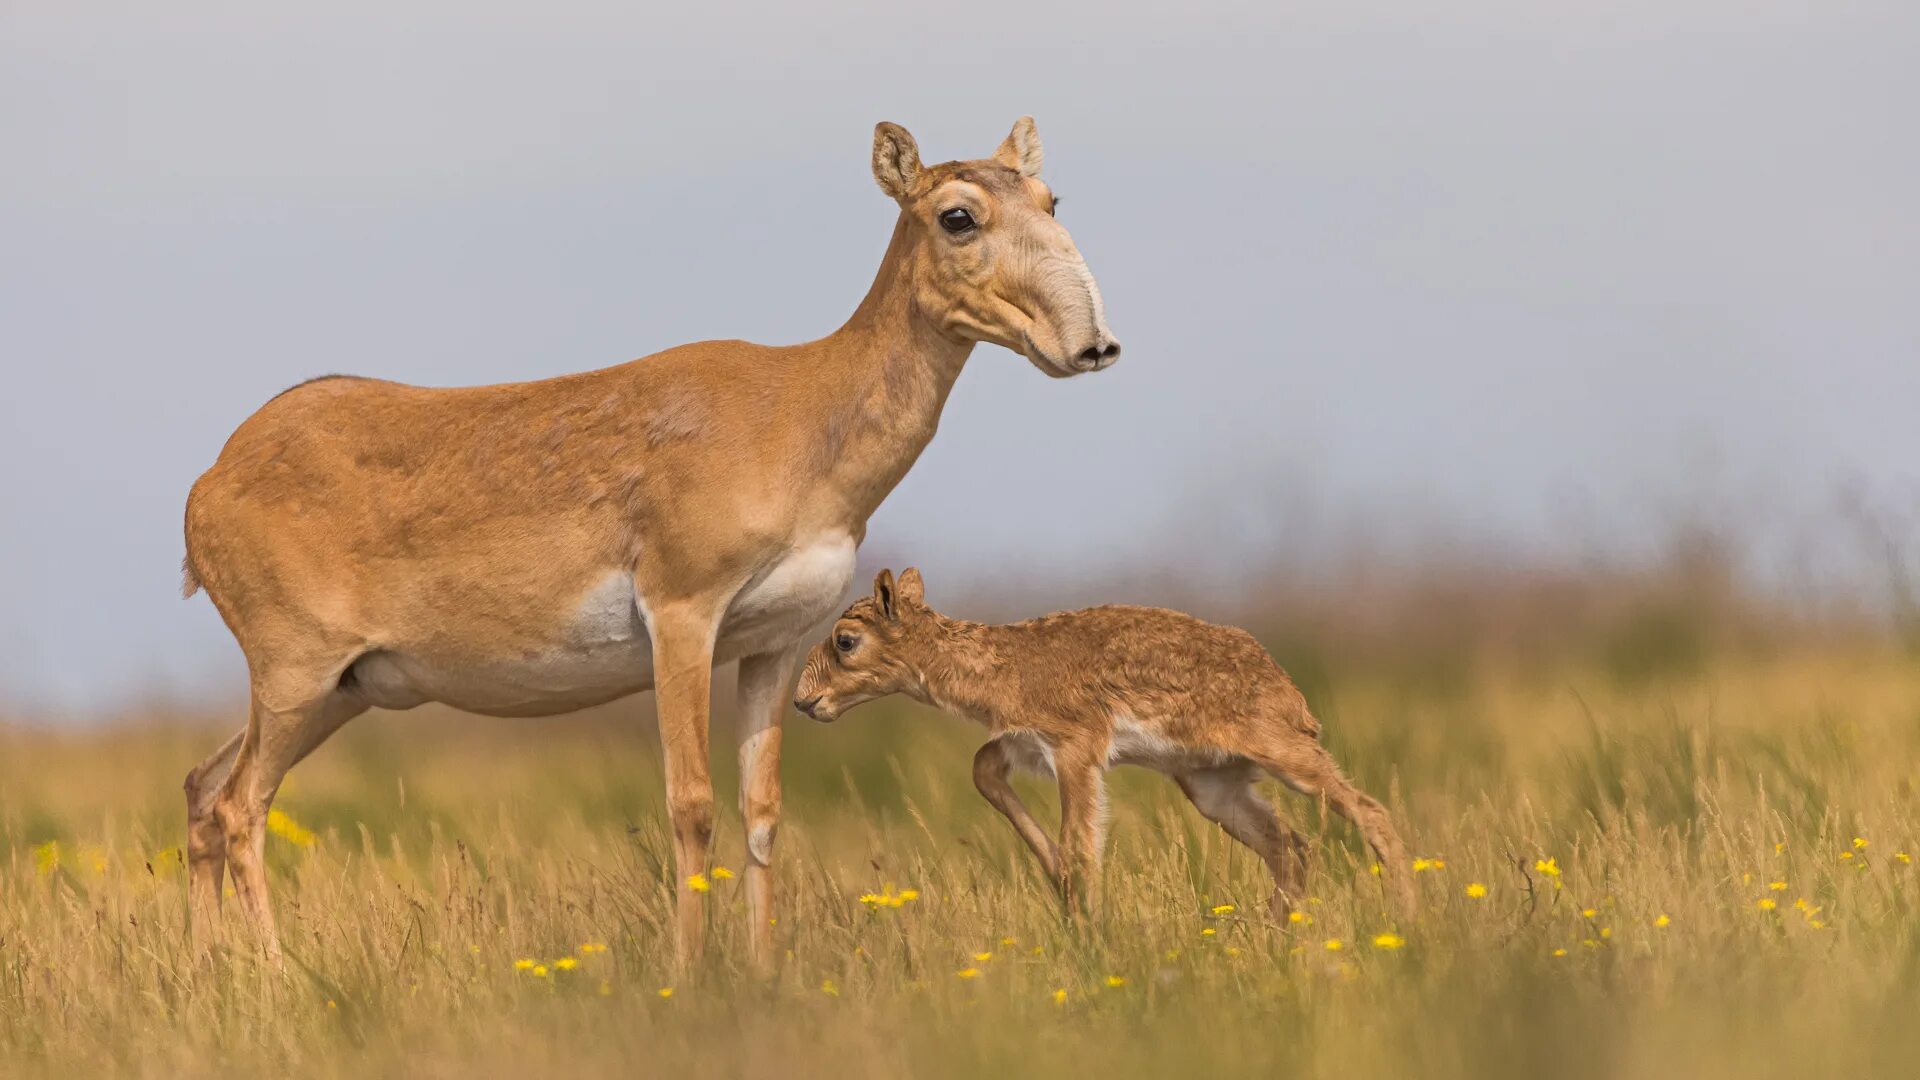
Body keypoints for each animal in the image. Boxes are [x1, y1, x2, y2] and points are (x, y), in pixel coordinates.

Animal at [180, 115, 1121, 957]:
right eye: (958, 214)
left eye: (1051, 196)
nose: (1095, 344)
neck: (803, 409)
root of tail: (211, 481)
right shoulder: (683, 616)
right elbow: (691, 804)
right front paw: (689, 974)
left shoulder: (775, 645)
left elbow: (762, 812)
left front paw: (761, 973)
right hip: (297, 678)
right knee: (238, 806)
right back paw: (278, 975)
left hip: (343, 690)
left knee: (201, 788)